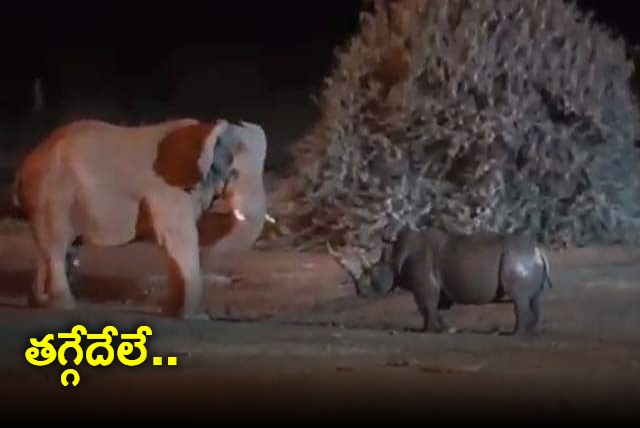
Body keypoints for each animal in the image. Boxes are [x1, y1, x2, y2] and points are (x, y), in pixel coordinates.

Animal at [12, 118, 266, 320]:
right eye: (234, 173)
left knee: (56, 248)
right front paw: (195, 318)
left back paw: (40, 303)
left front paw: (171, 312)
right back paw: (63, 305)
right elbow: (180, 239)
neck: (210, 132)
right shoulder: (169, 187)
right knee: (56, 246)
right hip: (52, 194)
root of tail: (28, 161)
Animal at [329, 225, 553, 335]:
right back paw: (530, 332)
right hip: (523, 260)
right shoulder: (443, 287)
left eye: (369, 273)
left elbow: (426, 307)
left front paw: (425, 331)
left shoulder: (424, 286)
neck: (394, 256)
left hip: (516, 259)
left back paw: (514, 335)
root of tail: (538, 251)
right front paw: (447, 329)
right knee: (533, 299)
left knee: (519, 299)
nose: (359, 291)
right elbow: (440, 308)